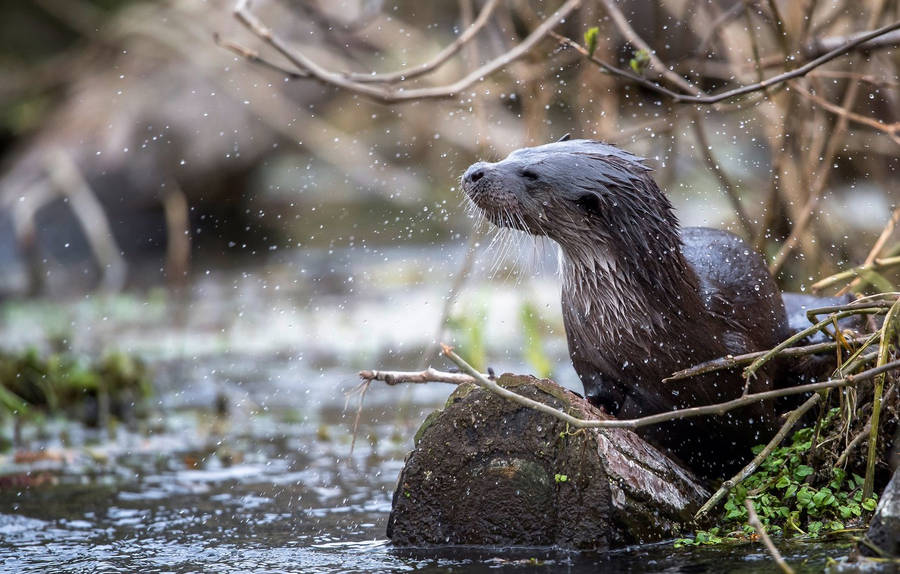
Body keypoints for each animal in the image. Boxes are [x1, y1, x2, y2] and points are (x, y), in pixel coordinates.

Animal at [460, 138, 800, 476]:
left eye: (530, 174)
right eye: (513, 154)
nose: (475, 172)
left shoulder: (737, 363)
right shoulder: (588, 357)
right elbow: (602, 390)